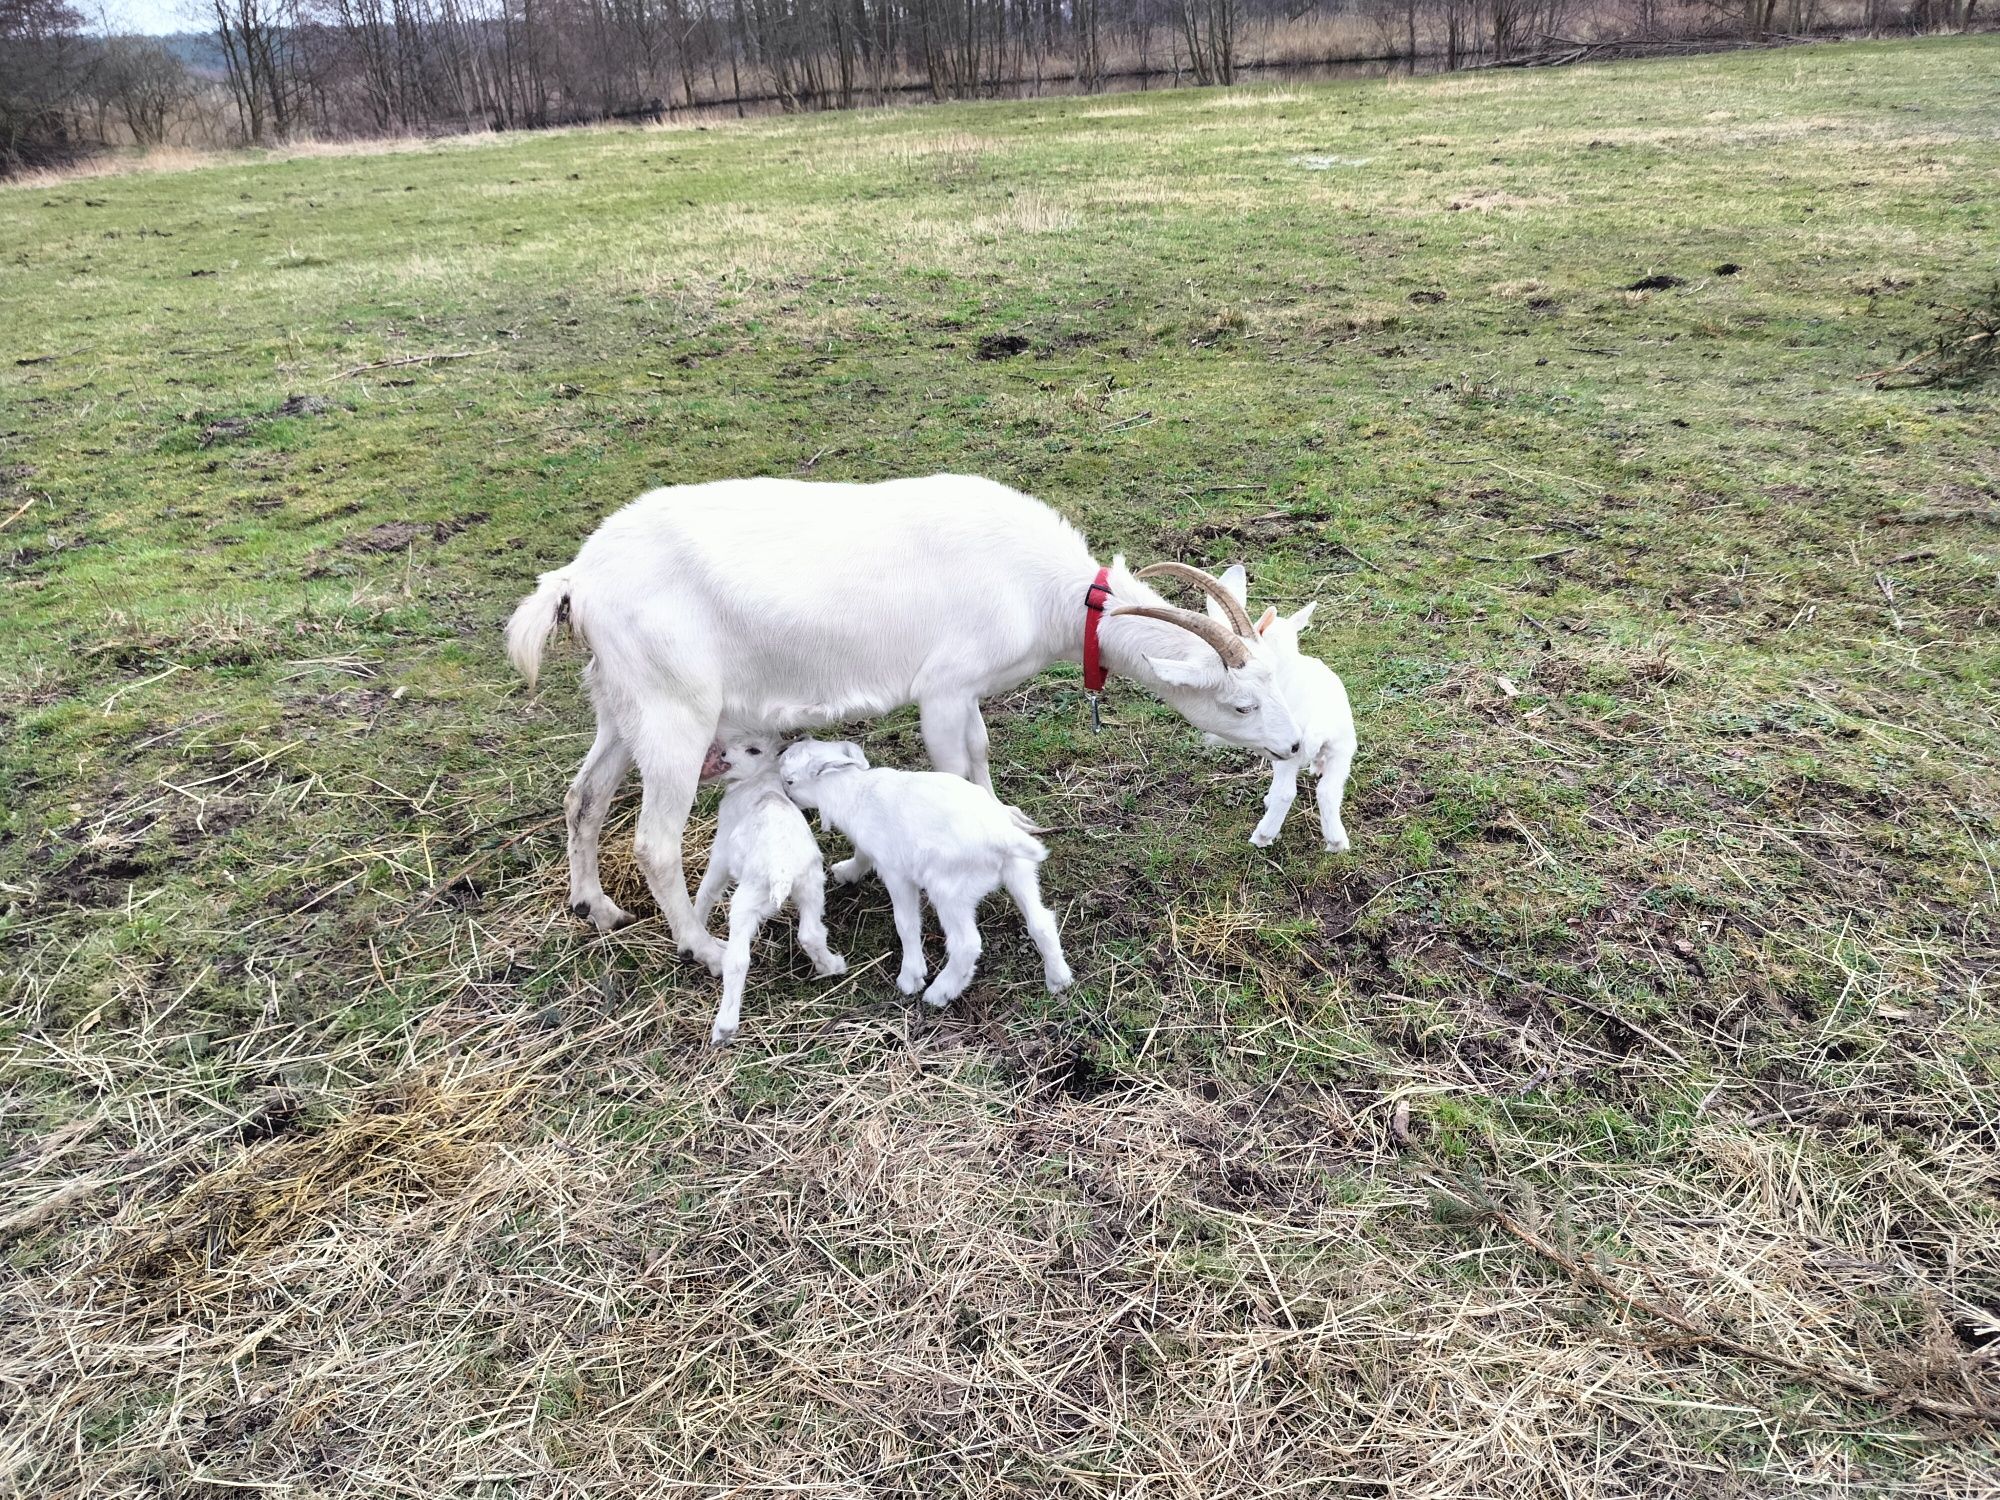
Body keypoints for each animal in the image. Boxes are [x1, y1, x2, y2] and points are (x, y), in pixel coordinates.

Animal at [688, 736, 844, 1048]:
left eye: (753, 750)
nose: (723, 752)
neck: (760, 781)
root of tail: (781, 870)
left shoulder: (721, 850)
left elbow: (707, 890)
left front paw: (695, 922)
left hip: (747, 900)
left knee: (737, 959)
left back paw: (724, 1029)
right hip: (811, 884)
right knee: (811, 934)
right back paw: (832, 966)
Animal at [776, 740, 1080, 1012]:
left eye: (789, 781)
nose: (785, 794)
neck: (854, 789)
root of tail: (998, 837)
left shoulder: (897, 875)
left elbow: (906, 923)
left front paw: (911, 976)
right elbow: (862, 856)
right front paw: (845, 872)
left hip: (949, 891)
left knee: (967, 945)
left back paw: (939, 992)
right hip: (1019, 871)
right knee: (1041, 921)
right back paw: (1058, 979)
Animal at [1200, 568, 1360, 852]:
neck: (1287, 660)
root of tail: (1320, 724)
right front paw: (1316, 766)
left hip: (1292, 751)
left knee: (1287, 792)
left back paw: (1263, 835)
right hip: (1343, 749)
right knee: (1329, 791)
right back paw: (1337, 843)